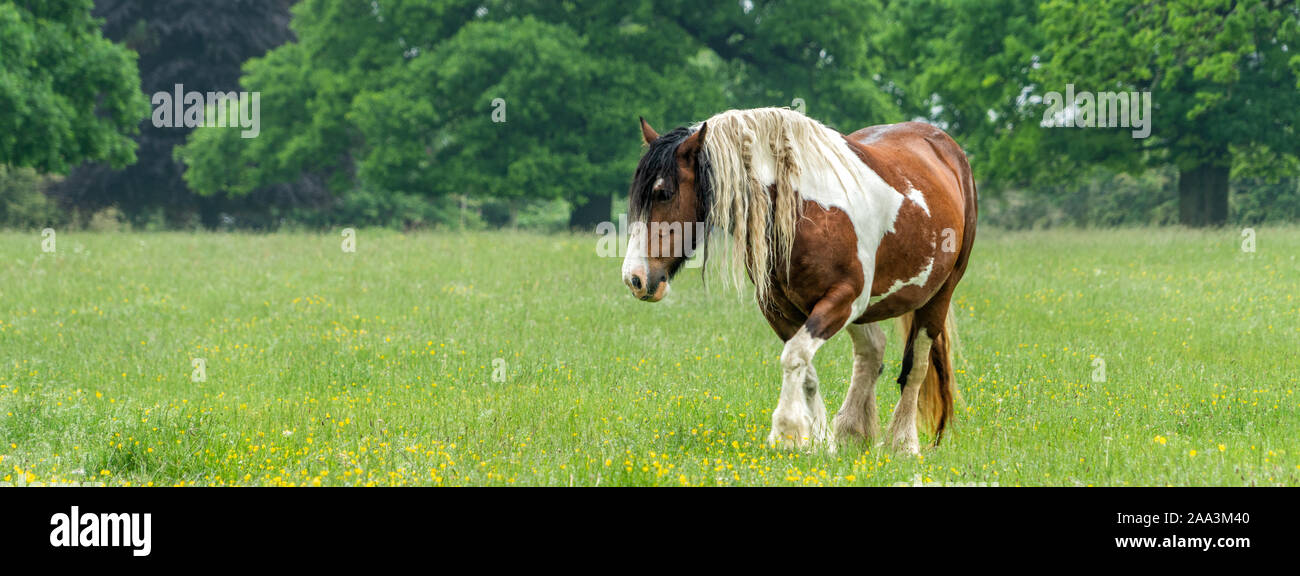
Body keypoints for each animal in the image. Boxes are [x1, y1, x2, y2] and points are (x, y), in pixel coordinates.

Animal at [618, 107, 977, 455]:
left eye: (664, 193)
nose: (635, 278)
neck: (806, 210)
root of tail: (945, 147)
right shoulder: (779, 308)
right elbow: (805, 368)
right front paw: (818, 439)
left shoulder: (842, 298)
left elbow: (795, 357)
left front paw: (787, 432)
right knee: (871, 353)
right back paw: (851, 433)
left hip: (937, 296)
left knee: (915, 367)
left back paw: (902, 443)